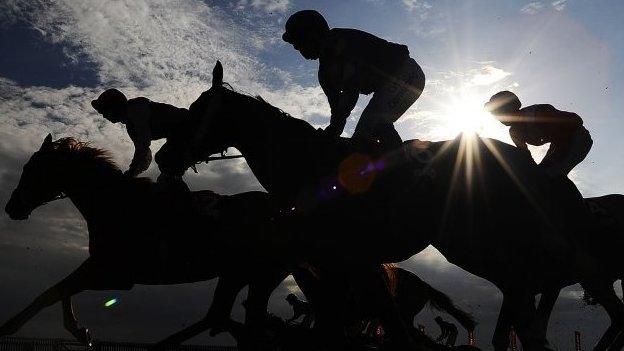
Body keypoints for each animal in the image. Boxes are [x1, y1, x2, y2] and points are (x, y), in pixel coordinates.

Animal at [157, 60, 620, 350]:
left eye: (197, 110)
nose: (163, 157)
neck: (310, 166)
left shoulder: (343, 260)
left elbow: (368, 322)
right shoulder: (336, 263)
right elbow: (360, 320)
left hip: (478, 243)